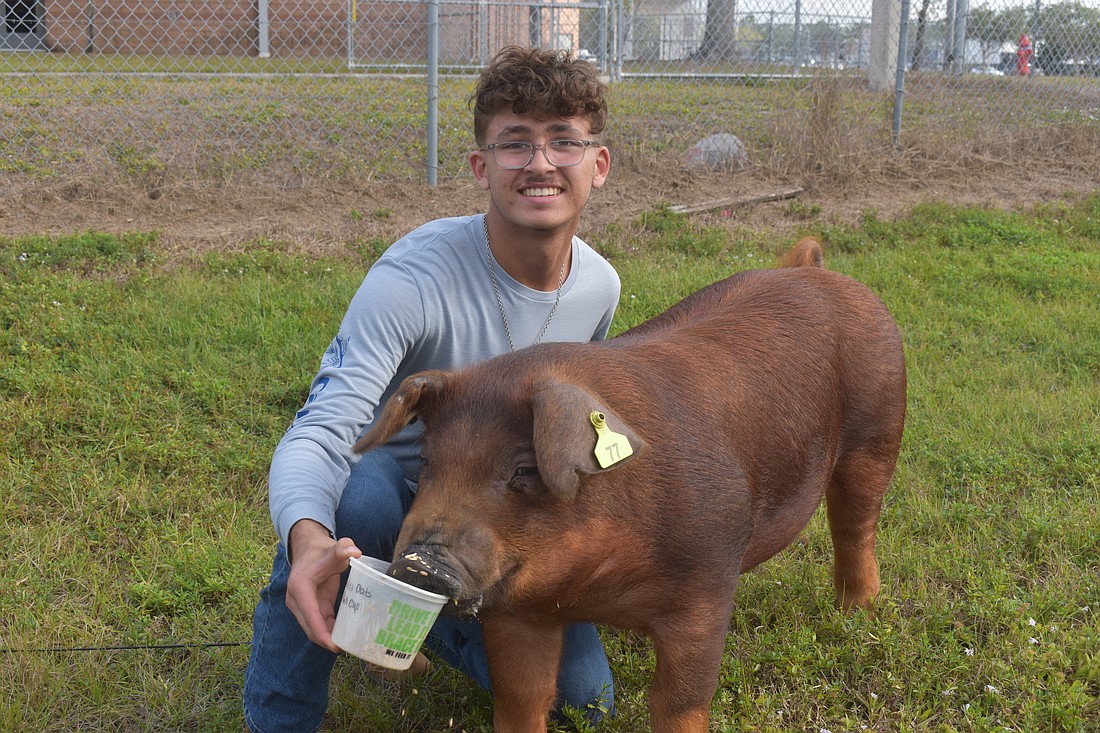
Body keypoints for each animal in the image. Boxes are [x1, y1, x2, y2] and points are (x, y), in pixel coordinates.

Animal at [353, 239, 906, 733]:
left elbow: (680, 703)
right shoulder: (516, 612)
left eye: (523, 471)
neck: (598, 583)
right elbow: (520, 697)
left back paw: (856, 613)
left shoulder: (707, 585)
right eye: (428, 462)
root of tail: (817, 270)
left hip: (878, 431)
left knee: (856, 525)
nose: (420, 561)